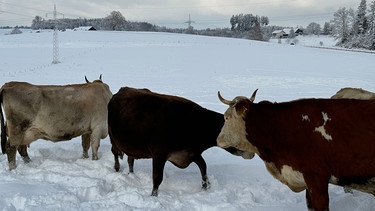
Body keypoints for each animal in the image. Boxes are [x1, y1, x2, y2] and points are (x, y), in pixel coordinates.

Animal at [107, 86, 251, 197]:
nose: (251, 153)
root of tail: (121, 90)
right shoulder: (159, 154)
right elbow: (157, 178)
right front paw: (153, 196)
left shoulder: (191, 152)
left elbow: (203, 167)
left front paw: (205, 187)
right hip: (113, 139)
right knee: (115, 153)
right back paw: (117, 168)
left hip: (131, 146)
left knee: (130, 159)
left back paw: (132, 175)